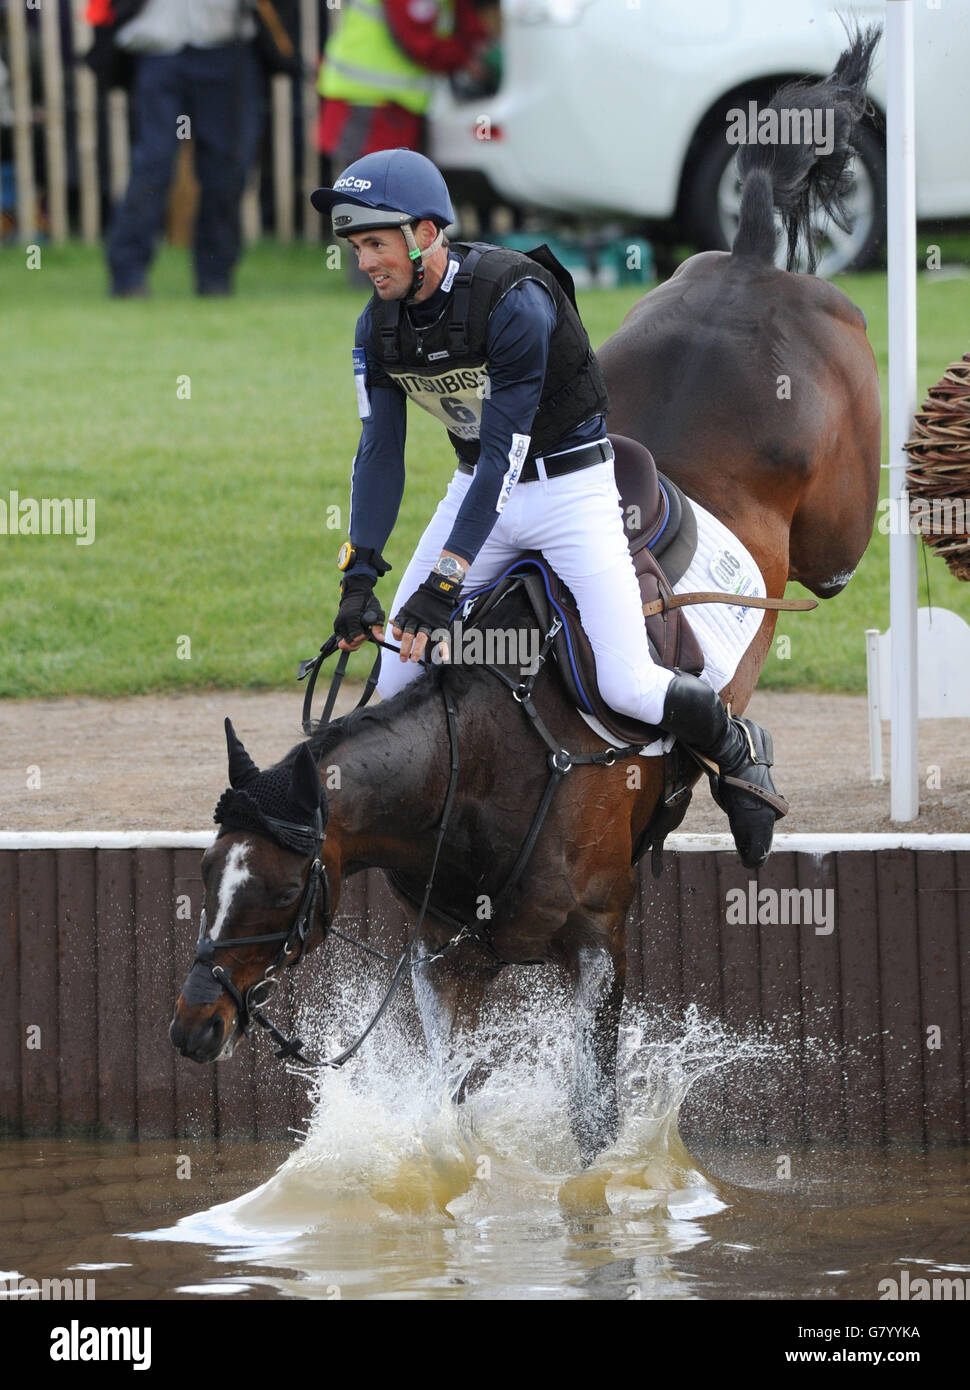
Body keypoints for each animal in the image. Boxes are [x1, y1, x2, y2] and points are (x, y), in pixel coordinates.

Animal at [170, 29, 882, 1167]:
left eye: (275, 885)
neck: (482, 774)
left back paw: (749, 771)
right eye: (205, 874)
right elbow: (445, 1115)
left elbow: (592, 1133)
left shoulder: (597, 949)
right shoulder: (441, 962)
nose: (194, 1027)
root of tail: (751, 260)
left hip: (838, 532)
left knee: (823, 575)